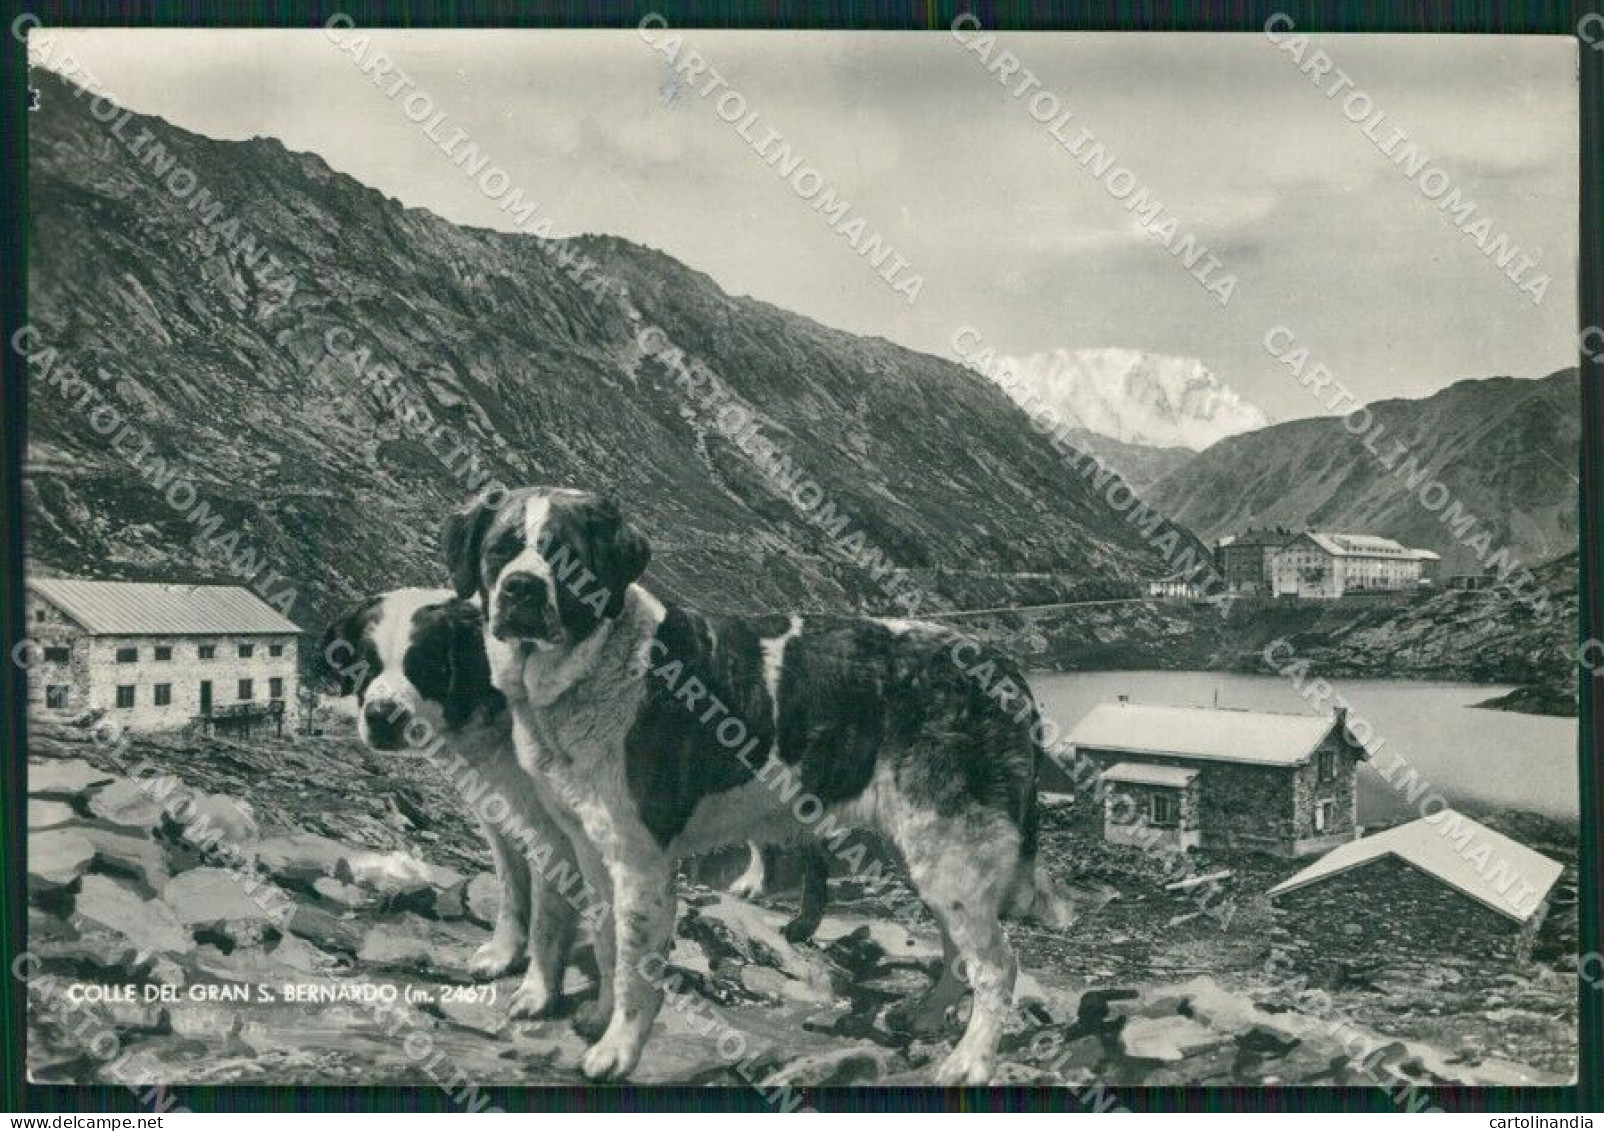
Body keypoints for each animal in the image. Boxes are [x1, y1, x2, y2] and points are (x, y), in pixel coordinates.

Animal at [319, 587, 583, 1020]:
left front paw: (538, 992)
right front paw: (503, 955)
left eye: (426, 666)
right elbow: (512, 892)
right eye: (367, 665)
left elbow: (547, 919)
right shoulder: (500, 816)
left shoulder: (557, 837)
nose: (382, 715)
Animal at [442, 487, 1065, 1084]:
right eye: (501, 549)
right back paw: (927, 1017)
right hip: (929, 854)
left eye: (563, 556)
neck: (596, 665)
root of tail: (1004, 670)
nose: (521, 589)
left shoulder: (641, 861)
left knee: (996, 965)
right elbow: (605, 939)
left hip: (951, 849)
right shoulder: (588, 848)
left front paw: (618, 1050)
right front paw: (598, 1018)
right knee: (960, 951)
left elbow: (635, 967)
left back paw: (971, 1061)